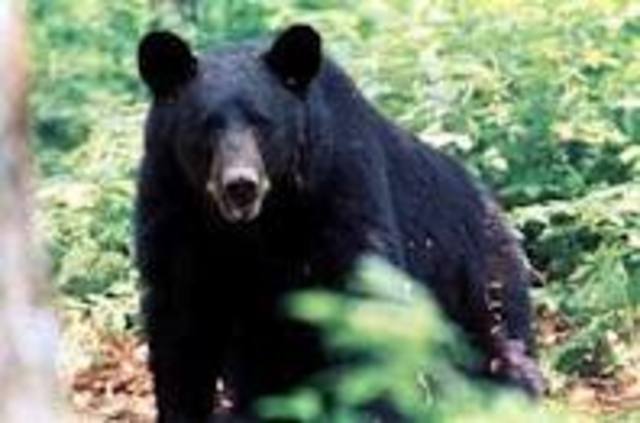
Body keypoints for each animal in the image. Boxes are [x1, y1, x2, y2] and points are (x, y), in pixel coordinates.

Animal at [134, 24, 544, 422]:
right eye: (206, 125)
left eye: (262, 122)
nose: (240, 185)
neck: (257, 225)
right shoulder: (173, 208)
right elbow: (179, 328)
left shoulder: (340, 189)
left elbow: (365, 301)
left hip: (477, 285)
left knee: (498, 353)